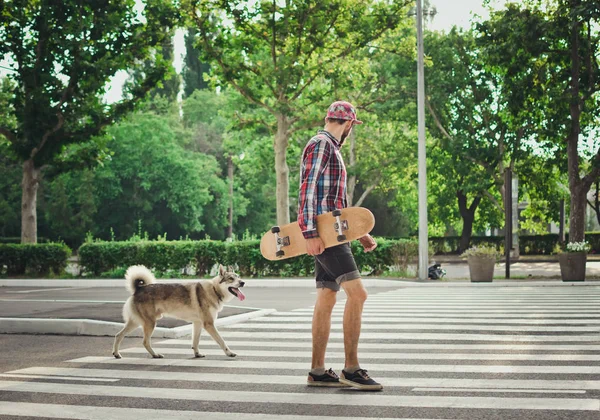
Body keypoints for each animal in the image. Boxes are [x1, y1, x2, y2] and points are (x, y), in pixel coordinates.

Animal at [111, 266, 245, 358]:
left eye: (238, 276)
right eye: (231, 278)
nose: (243, 282)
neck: (214, 289)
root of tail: (139, 288)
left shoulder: (198, 324)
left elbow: (195, 342)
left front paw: (197, 354)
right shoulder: (209, 324)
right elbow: (222, 341)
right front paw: (230, 353)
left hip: (136, 323)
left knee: (118, 335)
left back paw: (117, 354)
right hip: (150, 323)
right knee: (145, 342)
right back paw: (155, 355)